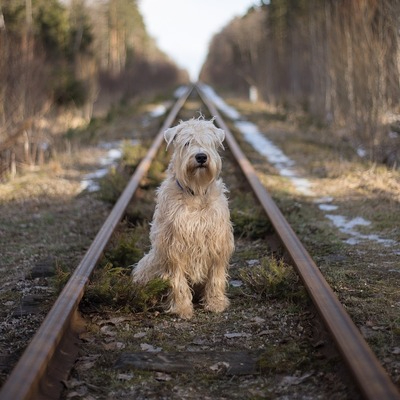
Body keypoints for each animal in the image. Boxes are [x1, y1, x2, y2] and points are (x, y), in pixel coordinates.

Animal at [132, 116, 234, 318]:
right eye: (187, 143)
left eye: (209, 142)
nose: (201, 157)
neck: (196, 192)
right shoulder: (173, 245)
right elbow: (177, 281)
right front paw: (182, 308)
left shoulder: (217, 242)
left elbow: (216, 277)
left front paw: (216, 303)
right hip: (150, 263)